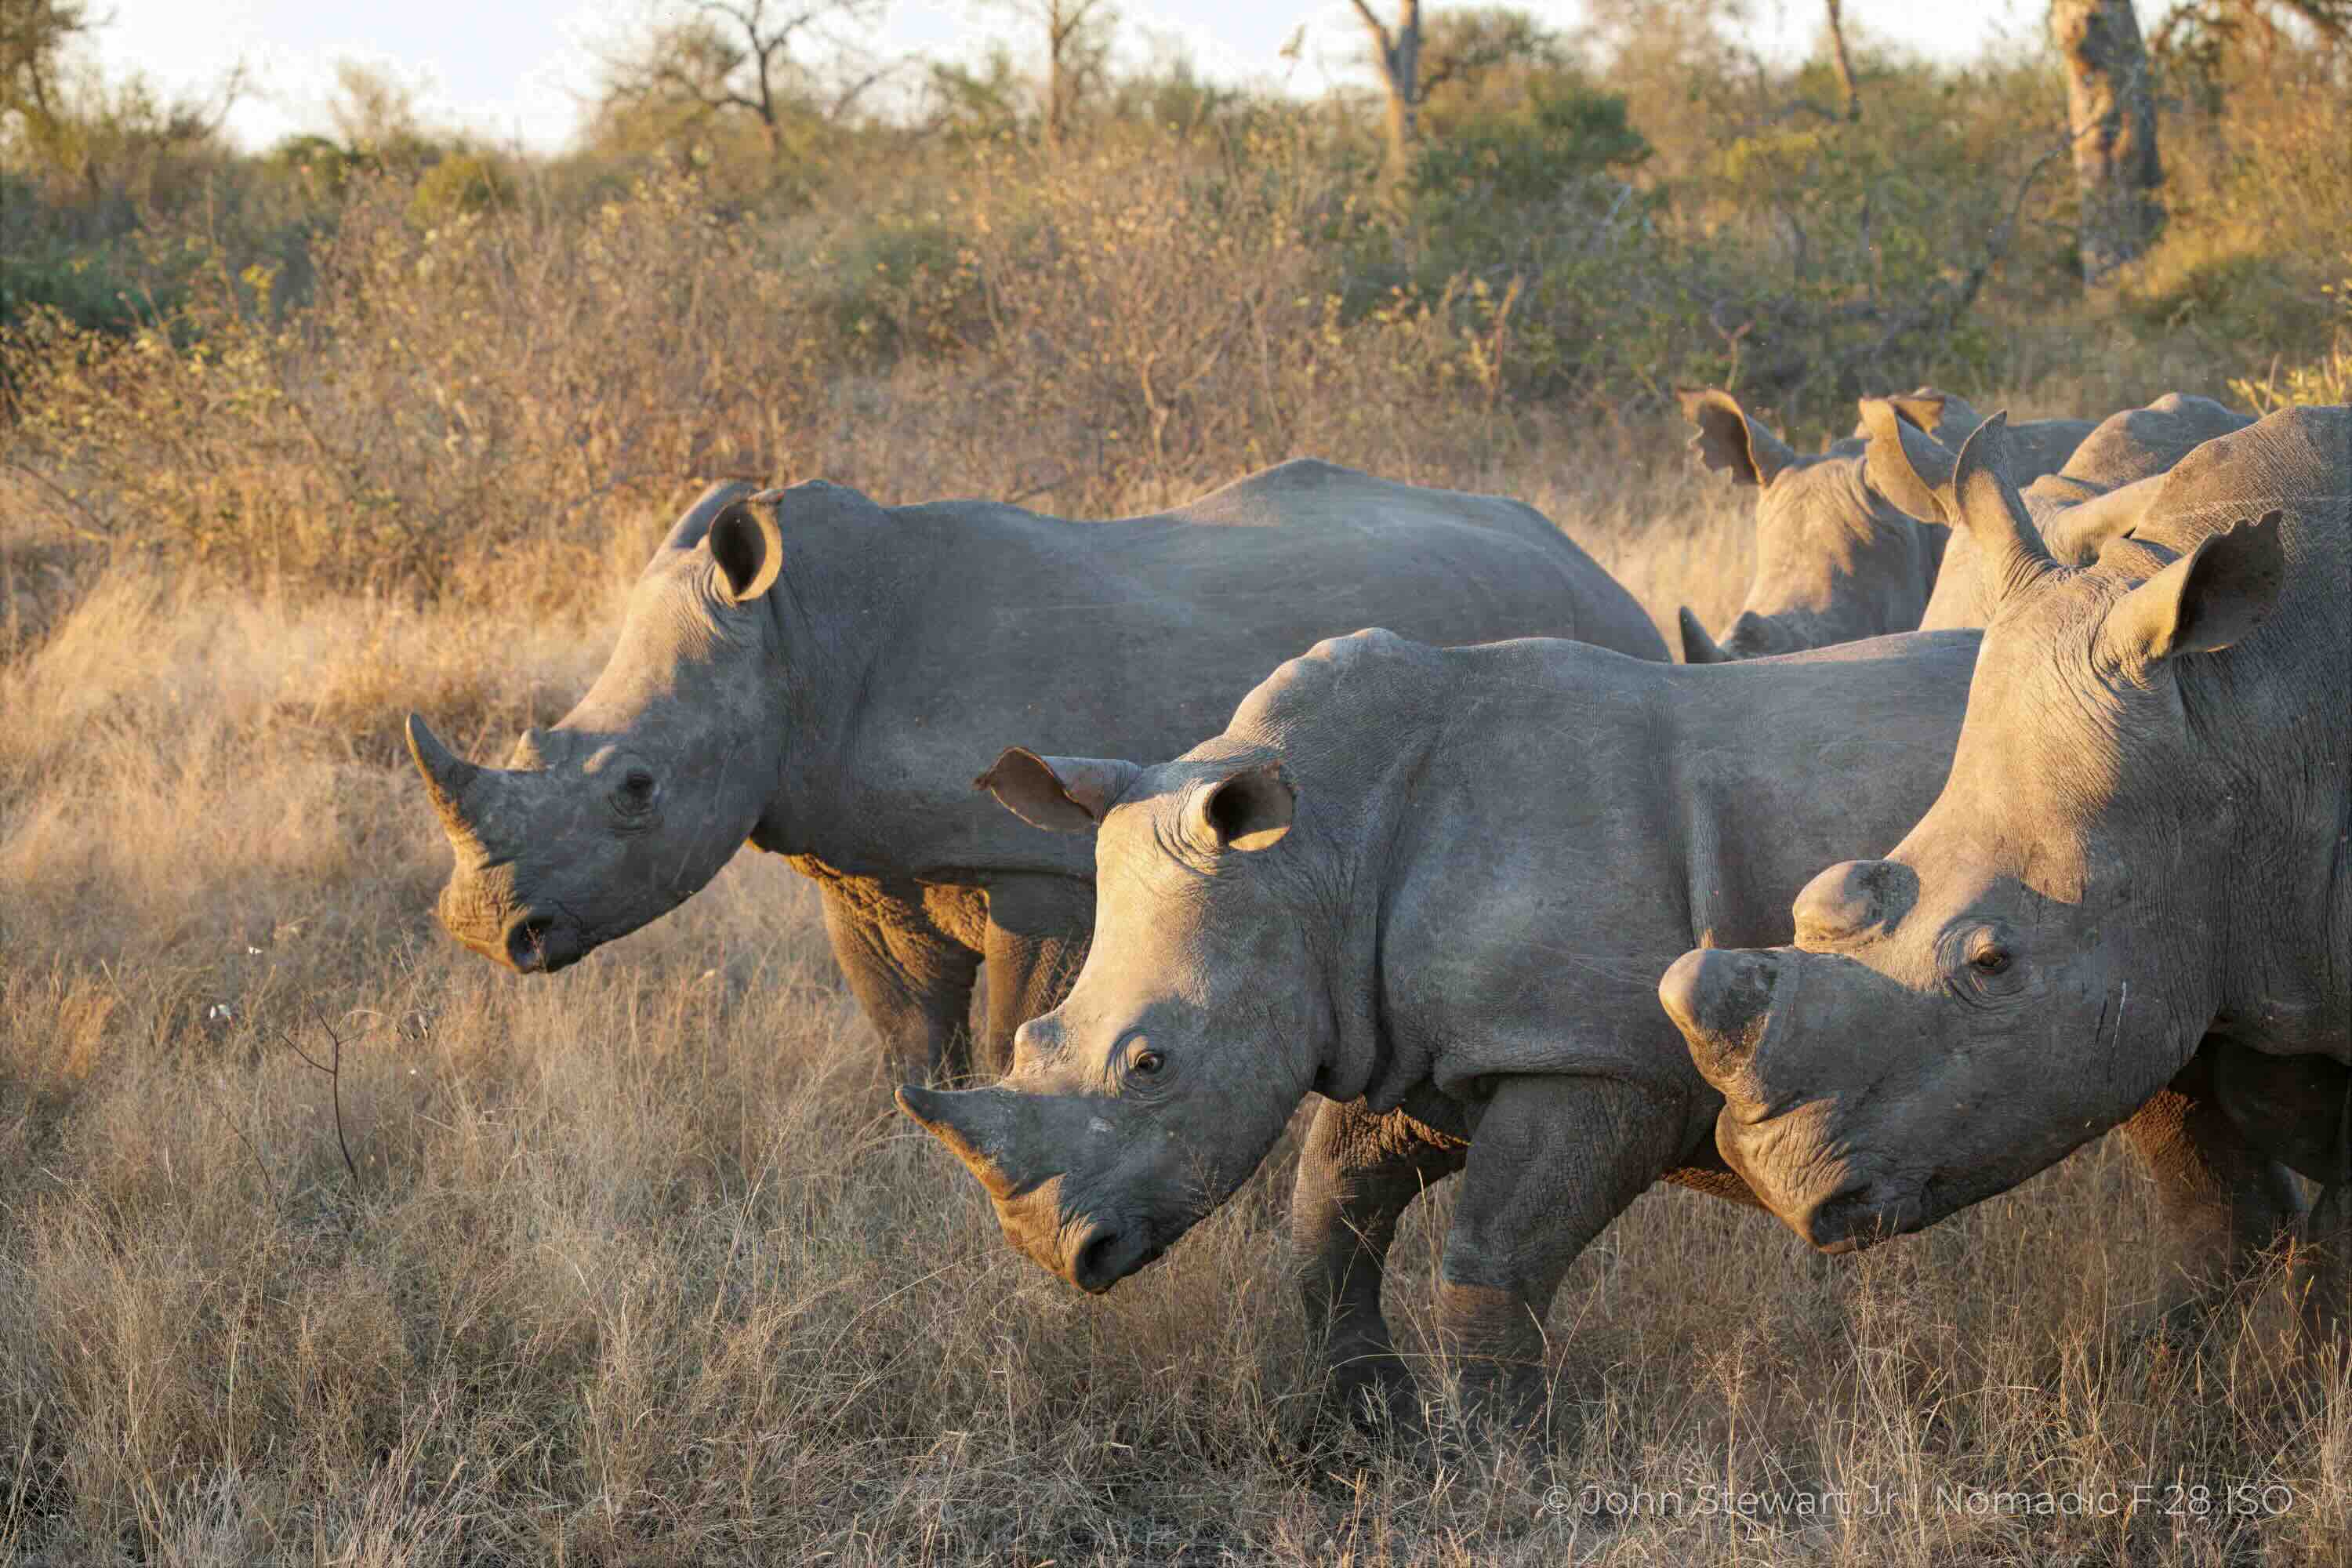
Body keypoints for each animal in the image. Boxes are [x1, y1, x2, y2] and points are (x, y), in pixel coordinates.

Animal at [404, 461, 1665, 1080]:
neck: (799, 635)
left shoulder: (1036, 868)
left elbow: (1017, 1023)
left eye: (637, 790)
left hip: (1600, 648)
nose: (483, 932)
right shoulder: (865, 869)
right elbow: (911, 1043)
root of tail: (1601, 569)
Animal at [896, 624, 2294, 1429]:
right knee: (2180, 1088)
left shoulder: (1592, 1056)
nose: (1059, 1256)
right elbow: (1328, 1215)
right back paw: (2167, 1383)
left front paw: (1499, 1460)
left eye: (1151, 1064)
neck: (1319, 844)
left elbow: (1493, 1253)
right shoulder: (1420, 1043)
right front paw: (1358, 1431)